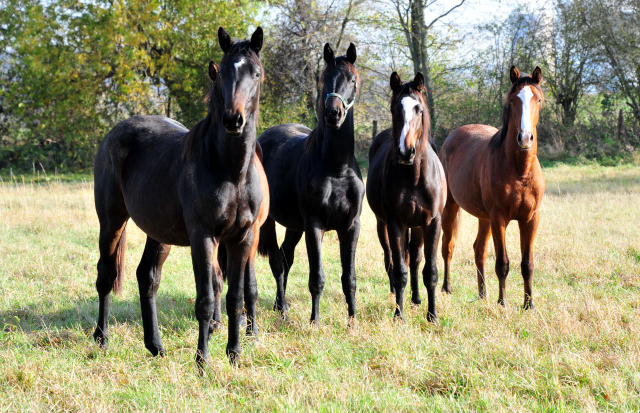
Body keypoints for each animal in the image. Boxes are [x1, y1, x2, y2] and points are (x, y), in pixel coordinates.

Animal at [92, 26, 268, 366]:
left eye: (255, 73)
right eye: (221, 72)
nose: (233, 120)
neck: (231, 171)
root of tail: (114, 132)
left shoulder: (243, 237)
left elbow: (235, 297)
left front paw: (235, 356)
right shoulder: (203, 236)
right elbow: (205, 300)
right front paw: (203, 362)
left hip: (158, 233)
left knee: (147, 277)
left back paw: (155, 346)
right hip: (111, 221)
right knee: (106, 275)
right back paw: (101, 338)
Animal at [256, 43, 364, 324]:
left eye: (352, 80)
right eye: (324, 78)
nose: (333, 114)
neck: (336, 167)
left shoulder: (351, 226)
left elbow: (349, 278)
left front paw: (352, 319)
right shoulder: (314, 225)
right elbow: (317, 278)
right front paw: (315, 320)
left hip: (295, 225)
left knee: (286, 258)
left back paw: (278, 305)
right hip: (270, 222)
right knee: (277, 262)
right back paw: (283, 308)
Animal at [364, 72, 444, 320]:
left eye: (419, 109)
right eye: (393, 109)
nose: (405, 151)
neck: (414, 176)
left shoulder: (432, 222)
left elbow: (430, 270)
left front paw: (432, 315)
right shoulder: (395, 223)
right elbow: (399, 270)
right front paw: (398, 315)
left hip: (417, 226)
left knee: (416, 260)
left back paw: (416, 298)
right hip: (382, 225)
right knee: (390, 258)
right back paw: (394, 294)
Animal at [440, 66, 544, 308]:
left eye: (538, 99)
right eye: (513, 100)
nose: (525, 138)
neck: (520, 171)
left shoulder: (530, 219)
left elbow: (527, 264)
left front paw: (529, 304)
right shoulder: (499, 218)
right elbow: (502, 263)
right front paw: (503, 302)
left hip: (484, 217)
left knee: (479, 250)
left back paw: (482, 294)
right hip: (451, 207)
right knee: (448, 246)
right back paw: (447, 288)